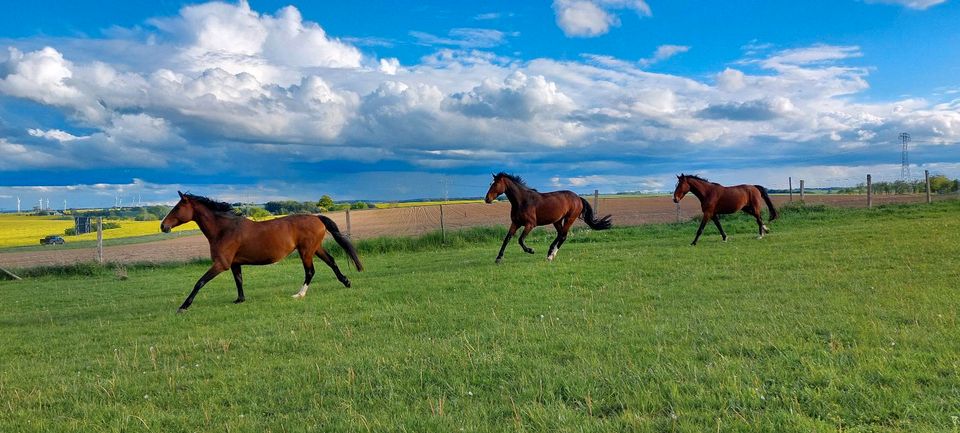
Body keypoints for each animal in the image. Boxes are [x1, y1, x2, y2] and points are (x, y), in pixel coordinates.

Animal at [161, 192, 364, 310]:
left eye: (177, 207)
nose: (163, 226)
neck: (225, 229)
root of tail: (317, 218)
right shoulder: (234, 264)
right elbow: (239, 281)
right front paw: (240, 300)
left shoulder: (221, 264)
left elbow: (200, 282)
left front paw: (184, 306)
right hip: (315, 248)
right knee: (331, 261)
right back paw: (346, 282)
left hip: (306, 251)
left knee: (310, 271)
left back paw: (299, 294)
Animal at [484, 173, 612, 264]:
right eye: (490, 184)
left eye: (495, 184)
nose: (487, 199)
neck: (522, 201)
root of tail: (578, 198)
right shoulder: (515, 223)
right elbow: (507, 239)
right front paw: (498, 258)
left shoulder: (530, 224)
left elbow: (520, 239)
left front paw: (531, 250)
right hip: (557, 220)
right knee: (560, 234)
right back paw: (551, 253)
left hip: (569, 218)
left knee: (563, 235)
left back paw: (550, 255)